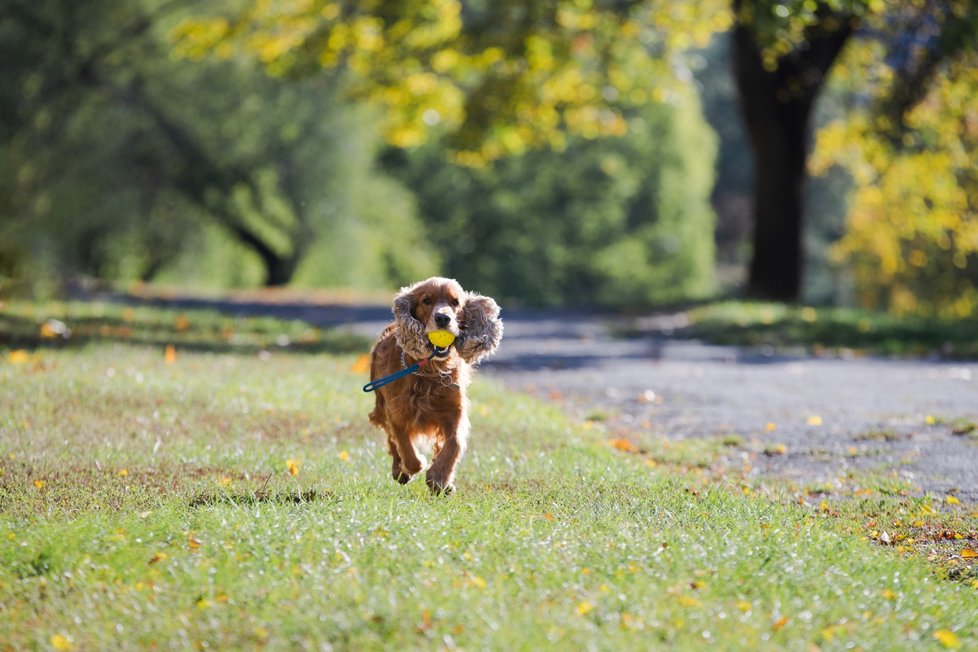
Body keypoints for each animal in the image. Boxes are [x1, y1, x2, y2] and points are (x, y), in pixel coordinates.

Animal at [368, 276, 504, 494]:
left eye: (455, 302)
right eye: (426, 301)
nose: (443, 318)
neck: (429, 371)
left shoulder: (454, 410)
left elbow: (455, 443)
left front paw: (439, 477)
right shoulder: (396, 410)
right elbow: (404, 446)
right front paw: (414, 467)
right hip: (381, 405)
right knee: (391, 440)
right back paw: (399, 471)